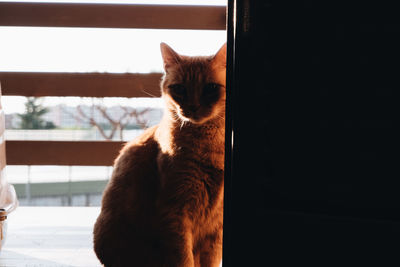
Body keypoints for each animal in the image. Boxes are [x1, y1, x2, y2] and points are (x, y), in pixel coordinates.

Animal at [92, 43, 227, 266]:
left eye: (211, 88)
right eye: (180, 88)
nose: (193, 107)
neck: (208, 146)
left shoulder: (217, 227)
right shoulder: (175, 213)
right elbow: (184, 259)